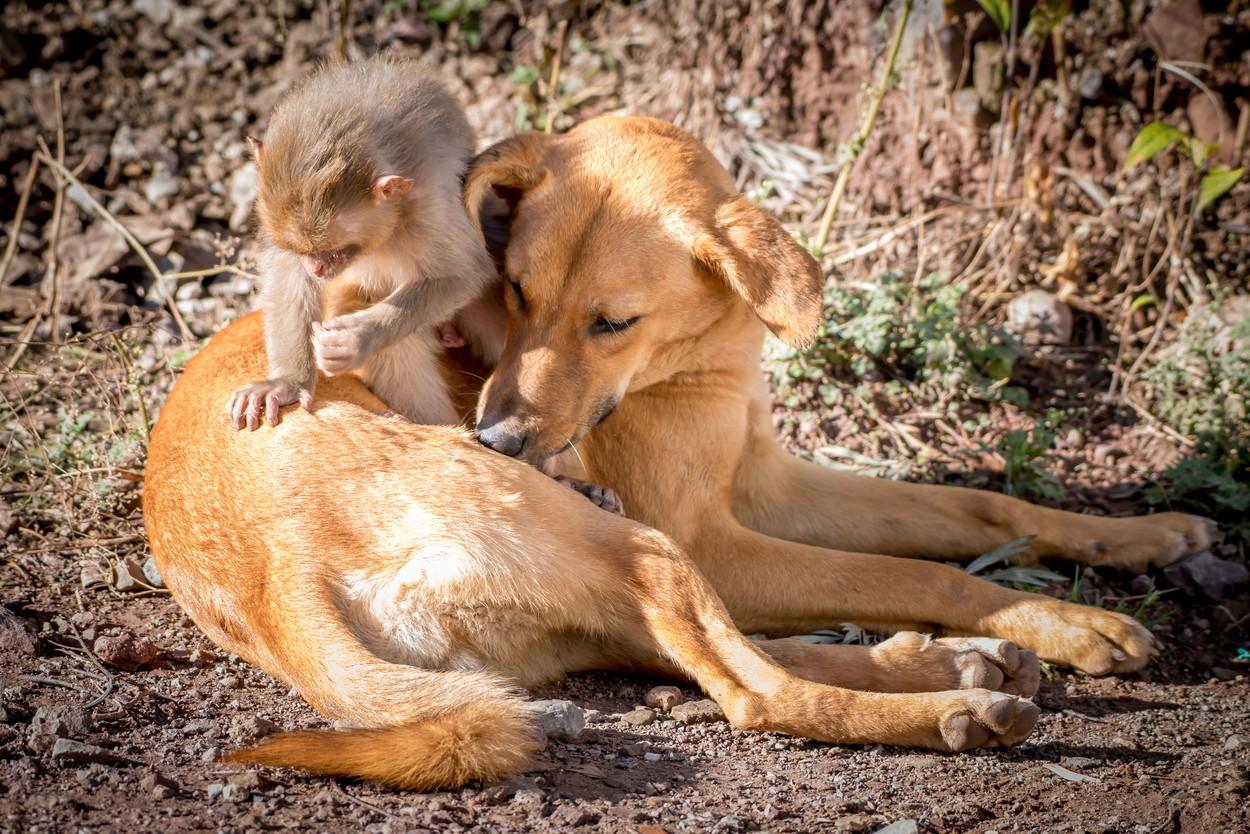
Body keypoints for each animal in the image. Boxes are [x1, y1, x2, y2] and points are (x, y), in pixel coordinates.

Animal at [141, 115, 1215, 790]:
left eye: (612, 322)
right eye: (517, 293)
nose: (495, 439)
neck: (697, 363)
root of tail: (271, 569)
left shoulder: (767, 487)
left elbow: (974, 510)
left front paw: (1141, 539)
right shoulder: (715, 535)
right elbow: (920, 572)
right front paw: (1073, 622)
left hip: (598, 599)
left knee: (721, 655)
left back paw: (953, 664)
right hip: (645, 551)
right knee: (754, 692)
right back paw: (957, 706)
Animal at [225, 54, 497, 430]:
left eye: (336, 250)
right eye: (304, 250)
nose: (317, 267)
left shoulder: (431, 209)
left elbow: (464, 275)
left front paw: (357, 339)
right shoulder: (268, 210)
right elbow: (286, 273)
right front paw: (287, 383)